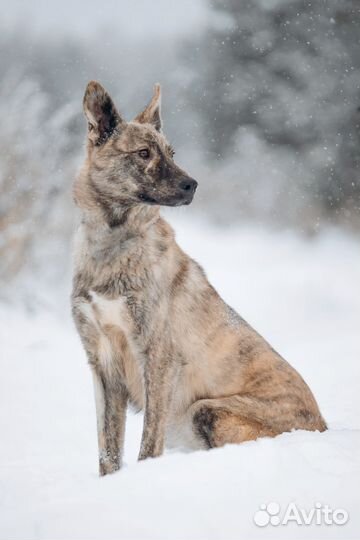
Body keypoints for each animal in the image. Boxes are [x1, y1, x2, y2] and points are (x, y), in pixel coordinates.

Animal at [71, 81, 326, 476]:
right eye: (143, 153)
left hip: (204, 410)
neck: (114, 243)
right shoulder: (102, 362)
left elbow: (148, 443)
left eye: (171, 152)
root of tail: (324, 428)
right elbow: (107, 451)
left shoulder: (157, 358)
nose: (192, 185)